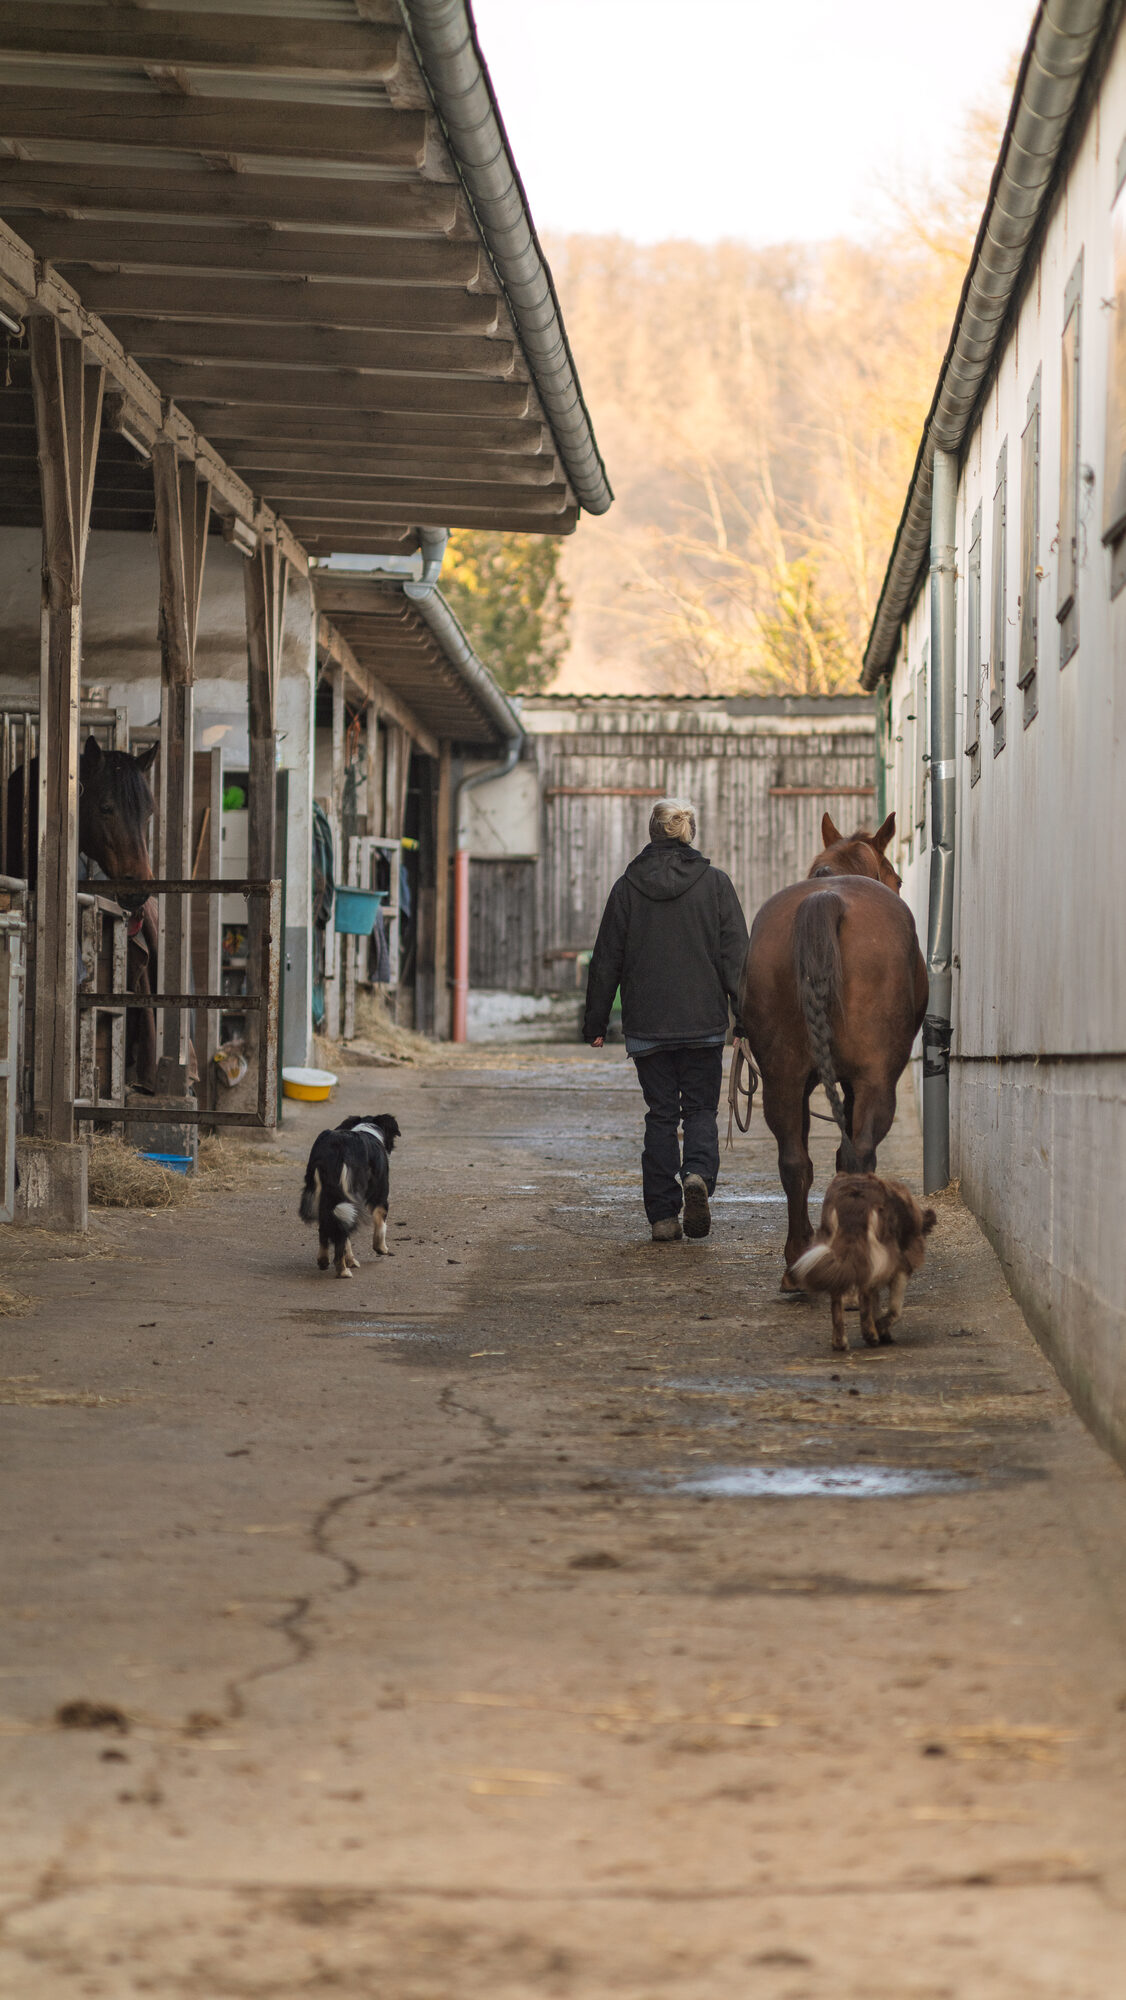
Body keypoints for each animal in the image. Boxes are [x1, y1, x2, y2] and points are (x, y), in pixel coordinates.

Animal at [738, 811, 928, 1286]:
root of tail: (827, 899)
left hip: (782, 1078)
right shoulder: (861, 1081)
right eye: (897, 879)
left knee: (794, 1162)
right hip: (876, 1080)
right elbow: (848, 1152)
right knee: (859, 1156)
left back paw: (796, 1263)